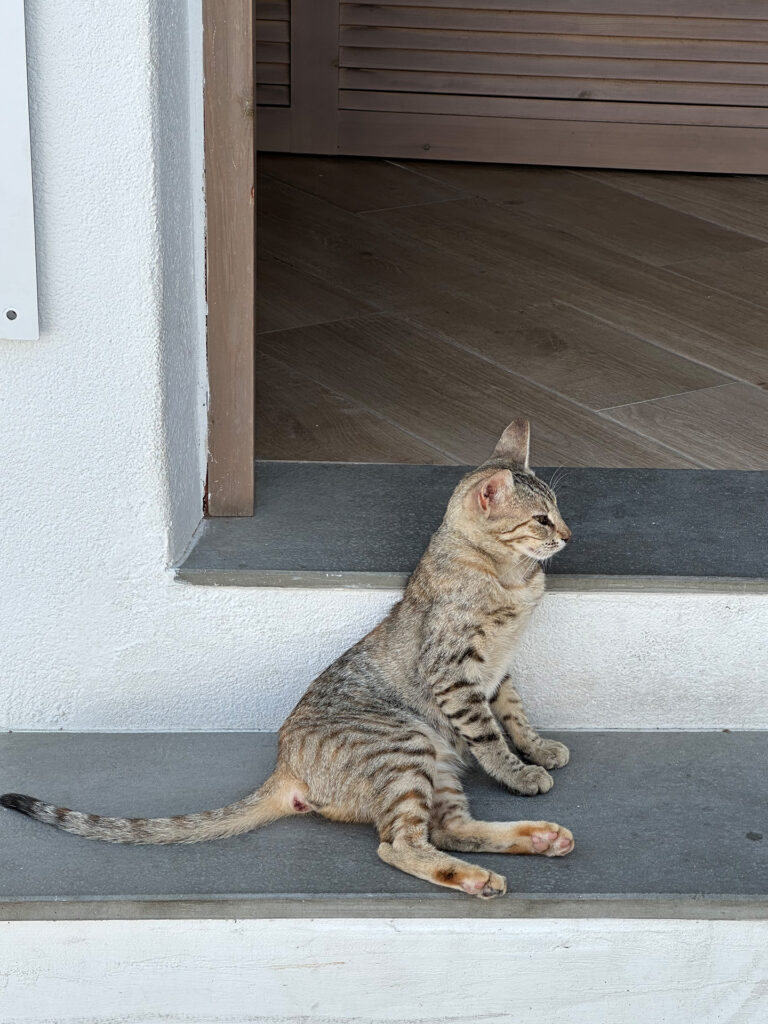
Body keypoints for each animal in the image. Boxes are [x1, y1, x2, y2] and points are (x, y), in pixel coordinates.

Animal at [1, 415, 577, 897]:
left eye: (558, 513)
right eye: (542, 520)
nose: (568, 535)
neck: (513, 577)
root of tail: (285, 767)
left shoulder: (497, 673)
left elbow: (515, 715)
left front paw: (539, 749)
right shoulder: (457, 674)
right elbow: (491, 736)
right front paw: (520, 772)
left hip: (433, 763)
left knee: (449, 827)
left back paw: (540, 839)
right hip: (405, 747)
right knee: (400, 844)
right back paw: (480, 876)